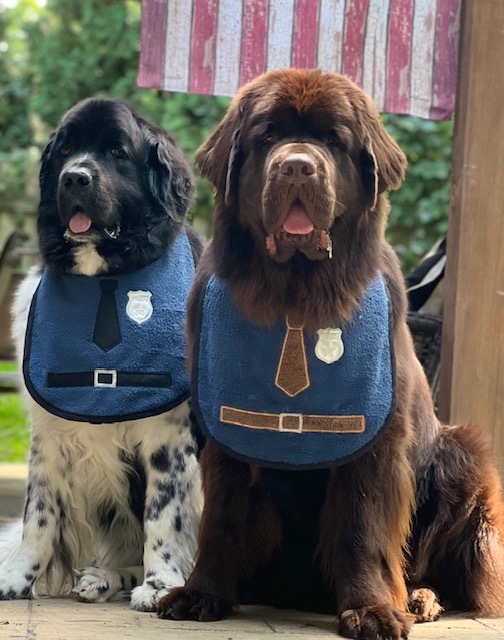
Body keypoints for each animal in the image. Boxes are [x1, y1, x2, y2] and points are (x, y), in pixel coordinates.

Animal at [1, 99, 204, 608]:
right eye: (66, 149)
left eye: (117, 152)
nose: (74, 177)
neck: (103, 278)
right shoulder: (49, 432)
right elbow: (38, 513)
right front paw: (17, 577)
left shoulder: (169, 437)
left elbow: (163, 514)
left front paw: (161, 582)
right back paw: (103, 578)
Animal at [158, 67, 504, 636]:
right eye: (268, 137)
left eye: (333, 140)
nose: (297, 165)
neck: (297, 295)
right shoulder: (223, 435)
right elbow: (222, 517)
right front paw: (201, 593)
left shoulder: (373, 440)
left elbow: (361, 527)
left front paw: (371, 609)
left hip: (464, 458)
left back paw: (419, 597)